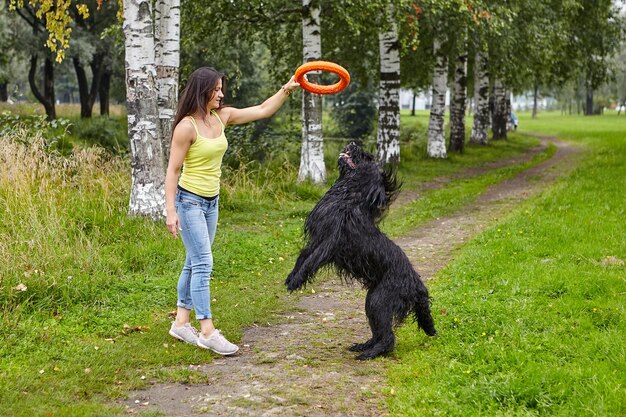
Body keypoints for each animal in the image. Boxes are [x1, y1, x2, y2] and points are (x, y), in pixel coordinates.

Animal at [284, 141, 434, 360]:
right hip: (371, 301)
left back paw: (369, 354)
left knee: (388, 338)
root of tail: (417, 285)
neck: (349, 196)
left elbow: (311, 261)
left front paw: (296, 282)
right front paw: (291, 277)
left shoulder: (329, 242)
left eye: (366, 157)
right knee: (379, 333)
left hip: (379, 301)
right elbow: (302, 258)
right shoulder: (317, 239)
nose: (353, 143)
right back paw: (364, 346)